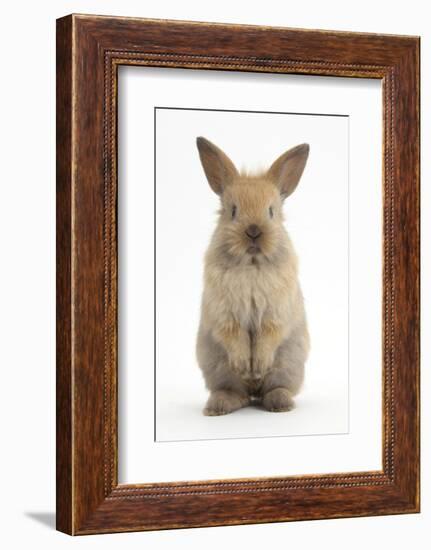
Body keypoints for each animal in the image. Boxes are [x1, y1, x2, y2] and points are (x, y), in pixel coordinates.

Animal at [196, 138, 310, 418]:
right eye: (232, 211)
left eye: (271, 211)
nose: (254, 231)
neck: (251, 264)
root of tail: (253, 392)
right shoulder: (225, 315)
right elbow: (234, 336)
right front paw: (244, 365)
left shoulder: (275, 313)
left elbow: (268, 335)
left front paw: (257, 365)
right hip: (218, 368)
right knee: (237, 393)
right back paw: (219, 406)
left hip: (287, 365)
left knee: (274, 389)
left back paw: (279, 403)